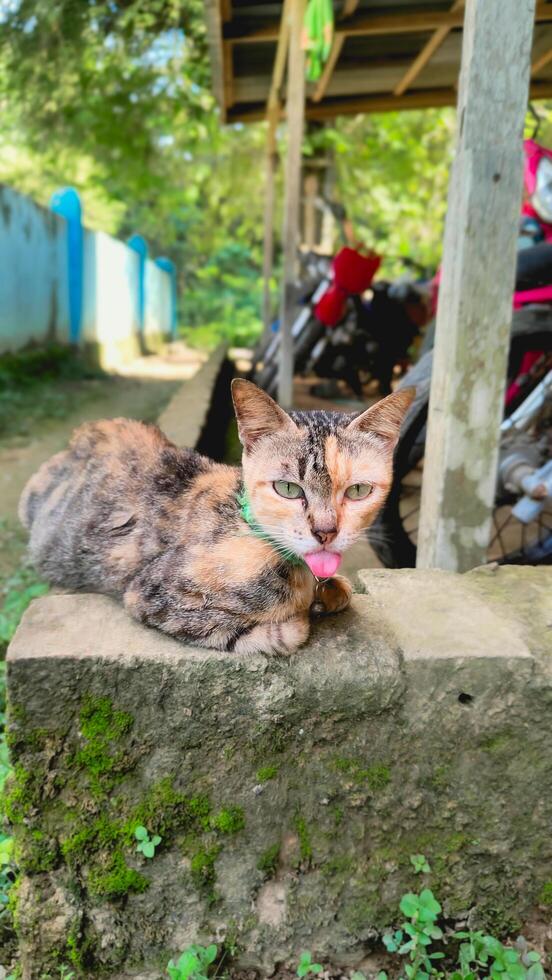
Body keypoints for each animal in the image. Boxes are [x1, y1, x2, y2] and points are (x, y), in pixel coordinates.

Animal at [18, 378, 414, 656]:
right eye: (288, 488)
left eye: (358, 491)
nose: (325, 531)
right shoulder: (151, 593)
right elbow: (278, 630)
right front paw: (299, 615)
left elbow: (340, 589)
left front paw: (329, 591)